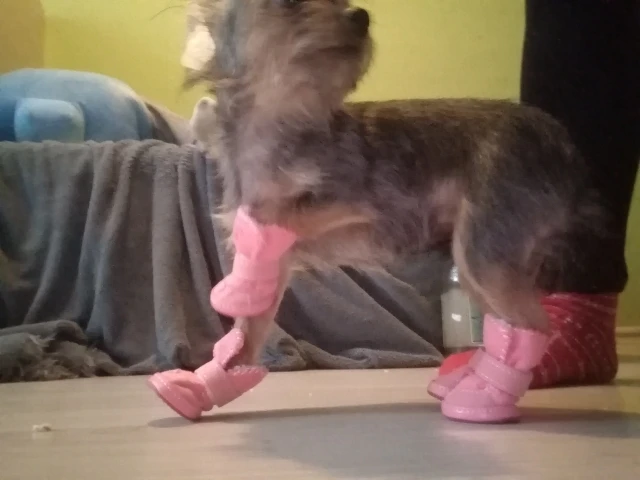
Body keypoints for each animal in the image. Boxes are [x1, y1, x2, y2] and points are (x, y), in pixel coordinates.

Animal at [186, 0, 604, 420]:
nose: (360, 16)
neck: (286, 119)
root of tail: (564, 146)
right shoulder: (278, 261)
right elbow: (249, 328)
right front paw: (209, 383)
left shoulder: (360, 201)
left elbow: (276, 214)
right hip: (487, 255)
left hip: (485, 246)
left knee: (533, 326)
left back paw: (484, 400)